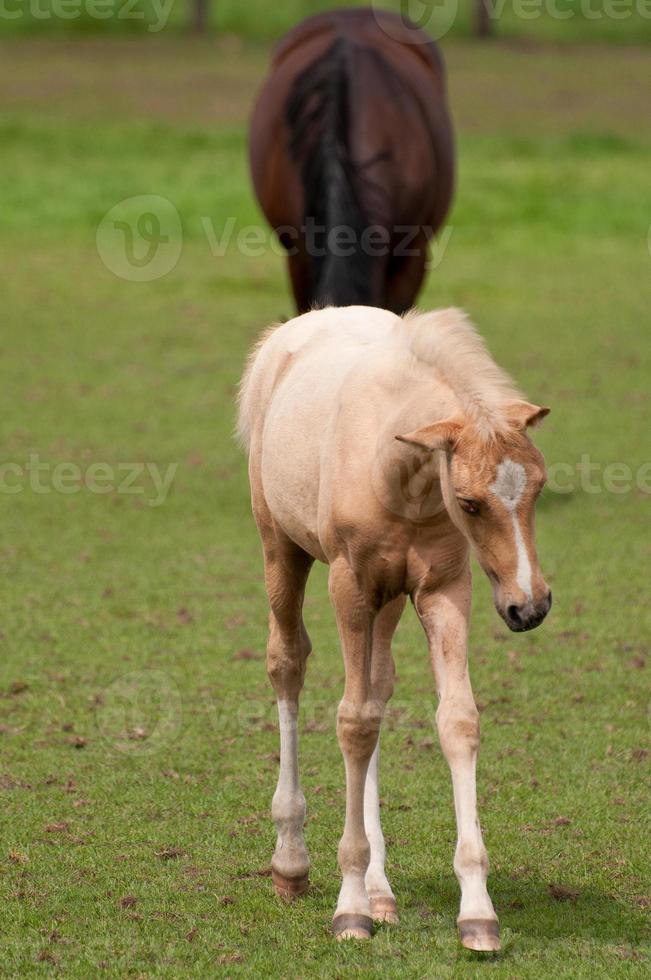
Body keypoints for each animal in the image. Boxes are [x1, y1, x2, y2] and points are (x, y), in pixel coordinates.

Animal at [237, 306, 552, 948]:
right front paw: (349, 906)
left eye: (538, 485)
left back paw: (382, 890)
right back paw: (293, 864)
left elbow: (455, 720)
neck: (400, 471)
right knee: (288, 663)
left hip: (388, 599)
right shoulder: (352, 586)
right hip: (282, 547)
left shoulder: (443, 589)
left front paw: (477, 912)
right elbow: (353, 723)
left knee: (379, 687)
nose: (529, 607)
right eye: (470, 502)